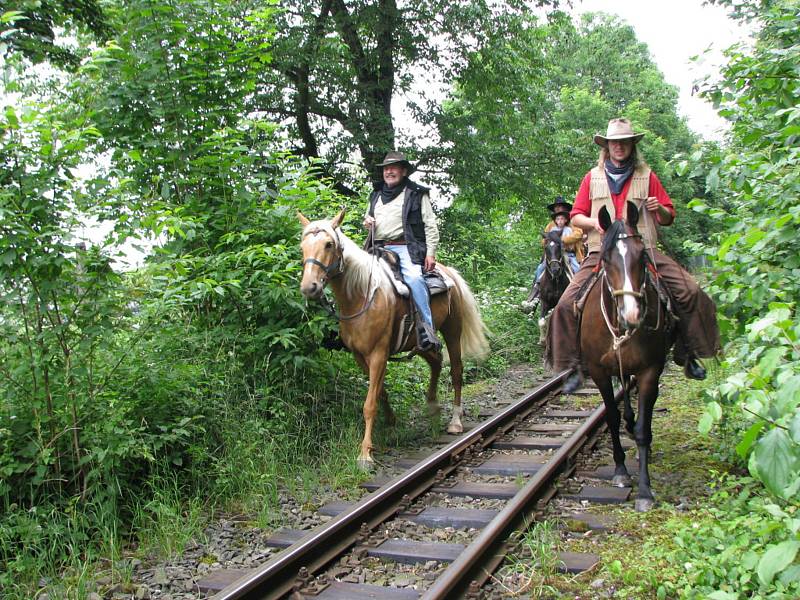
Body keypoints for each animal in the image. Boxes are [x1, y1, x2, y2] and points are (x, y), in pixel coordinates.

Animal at [298, 210, 490, 468]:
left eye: (329, 244)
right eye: (303, 247)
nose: (309, 287)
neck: (362, 295)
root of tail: (449, 272)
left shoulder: (379, 353)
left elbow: (370, 404)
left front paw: (365, 454)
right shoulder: (360, 356)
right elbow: (380, 393)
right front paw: (391, 424)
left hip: (452, 330)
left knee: (456, 370)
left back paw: (455, 421)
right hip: (420, 342)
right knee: (436, 361)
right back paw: (432, 406)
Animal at [580, 202, 676, 510]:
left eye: (642, 255)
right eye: (606, 259)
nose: (631, 314)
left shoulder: (650, 370)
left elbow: (645, 427)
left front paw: (645, 491)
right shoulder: (599, 372)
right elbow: (610, 416)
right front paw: (620, 470)